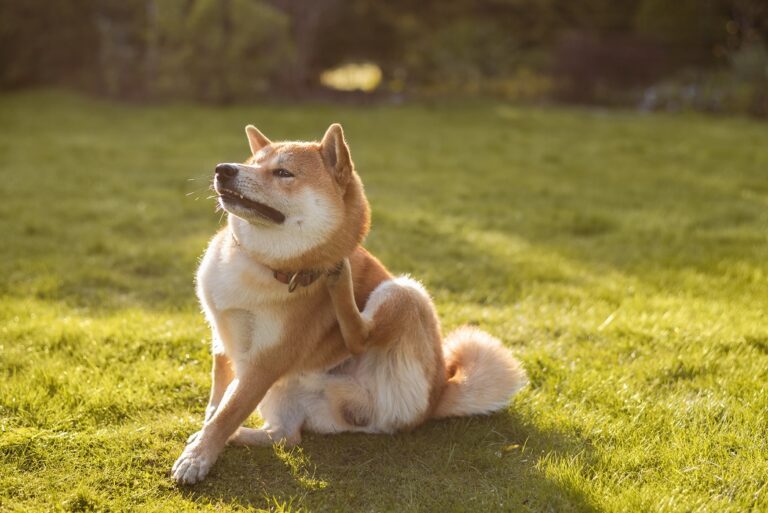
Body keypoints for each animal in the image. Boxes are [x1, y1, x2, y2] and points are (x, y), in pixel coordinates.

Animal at [170, 122, 524, 482]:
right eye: (251, 162)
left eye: (283, 172)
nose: (224, 170)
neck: (260, 264)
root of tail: (438, 396)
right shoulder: (223, 343)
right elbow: (218, 403)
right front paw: (204, 437)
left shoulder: (265, 362)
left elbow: (228, 411)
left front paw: (198, 457)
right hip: (290, 391)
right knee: (286, 436)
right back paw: (241, 436)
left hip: (406, 292)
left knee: (360, 337)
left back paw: (340, 279)